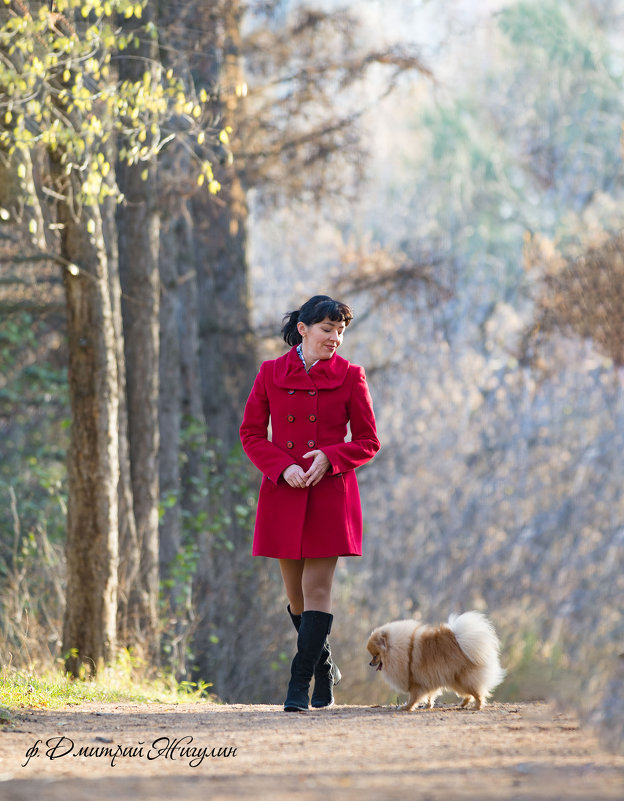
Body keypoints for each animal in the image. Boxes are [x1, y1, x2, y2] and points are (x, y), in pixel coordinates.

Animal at [366, 608, 508, 708]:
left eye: (375, 656)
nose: (370, 663)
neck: (402, 650)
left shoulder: (416, 681)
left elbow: (413, 697)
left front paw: (407, 707)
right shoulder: (428, 679)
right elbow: (429, 695)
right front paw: (428, 706)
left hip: (463, 678)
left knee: (478, 693)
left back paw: (477, 706)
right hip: (455, 679)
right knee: (469, 694)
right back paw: (463, 704)